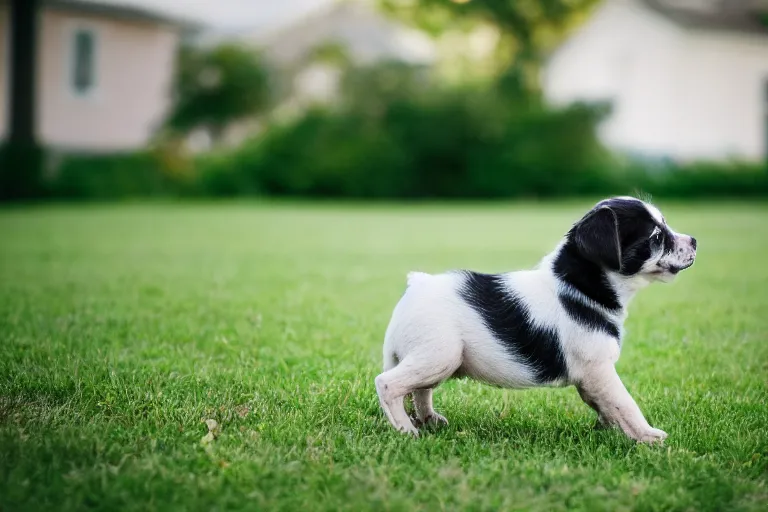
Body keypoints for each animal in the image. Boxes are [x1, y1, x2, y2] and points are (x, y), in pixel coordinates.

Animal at [376, 197, 700, 444]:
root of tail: (416, 284)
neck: (579, 287)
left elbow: (605, 407)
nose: (695, 240)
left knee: (420, 390)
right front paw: (648, 437)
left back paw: (428, 420)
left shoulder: (591, 379)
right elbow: (625, 403)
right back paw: (406, 430)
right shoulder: (599, 370)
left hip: (436, 360)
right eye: (657, 238)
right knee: (388, 385)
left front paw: (611, 431)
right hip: (440, 355)